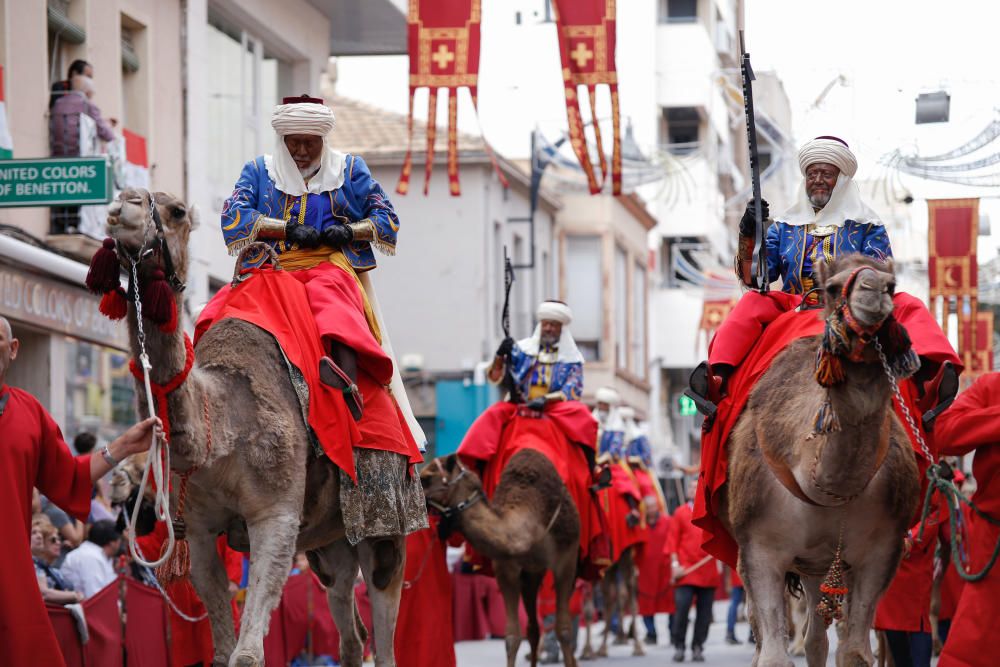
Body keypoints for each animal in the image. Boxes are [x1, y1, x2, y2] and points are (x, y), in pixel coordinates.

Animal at [106, 188, 426, 667]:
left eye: (176, 211)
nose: (120, 206)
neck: (221, 425)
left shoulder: (275, 514)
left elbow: (247, 654)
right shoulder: (198, 529)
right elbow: (222, 651)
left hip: (388, 521)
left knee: (385, 635)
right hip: (328, 545)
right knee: (352, 632)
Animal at [420, 448, 580, 667]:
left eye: (427, 478)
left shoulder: (565, 560)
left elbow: (564, 630)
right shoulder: (506, 569)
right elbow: (512, 637)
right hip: (531, 575)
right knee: (533, 629)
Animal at [720, 254, 920, 667]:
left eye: (893, 287)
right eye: (832, 288)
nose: (873, 291)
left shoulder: (882, 550)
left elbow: (855, 652)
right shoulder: (759, 548)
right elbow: (773, 657)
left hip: (821, 561)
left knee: (816, 635)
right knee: (765, 631)